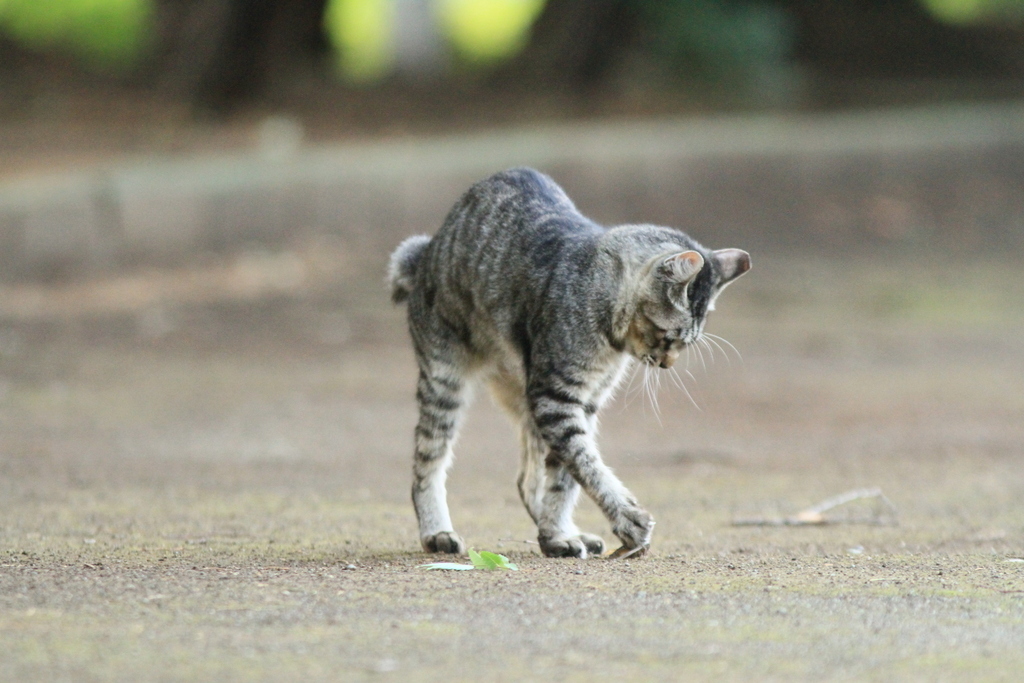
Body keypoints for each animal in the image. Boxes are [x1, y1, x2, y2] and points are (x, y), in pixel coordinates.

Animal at [387, 167, 749, 557]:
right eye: (670, 338)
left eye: (683, 344)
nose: (668, 364)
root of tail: (427, 250)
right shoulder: (556, 398)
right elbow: (585, 462)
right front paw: (628, 520)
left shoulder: (581, 402)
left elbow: (565, 477)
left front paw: (557, 534)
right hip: (446, 382)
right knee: (428, 462)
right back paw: (436, 532)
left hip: (524, 395)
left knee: (526, 479)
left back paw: (560, 532)